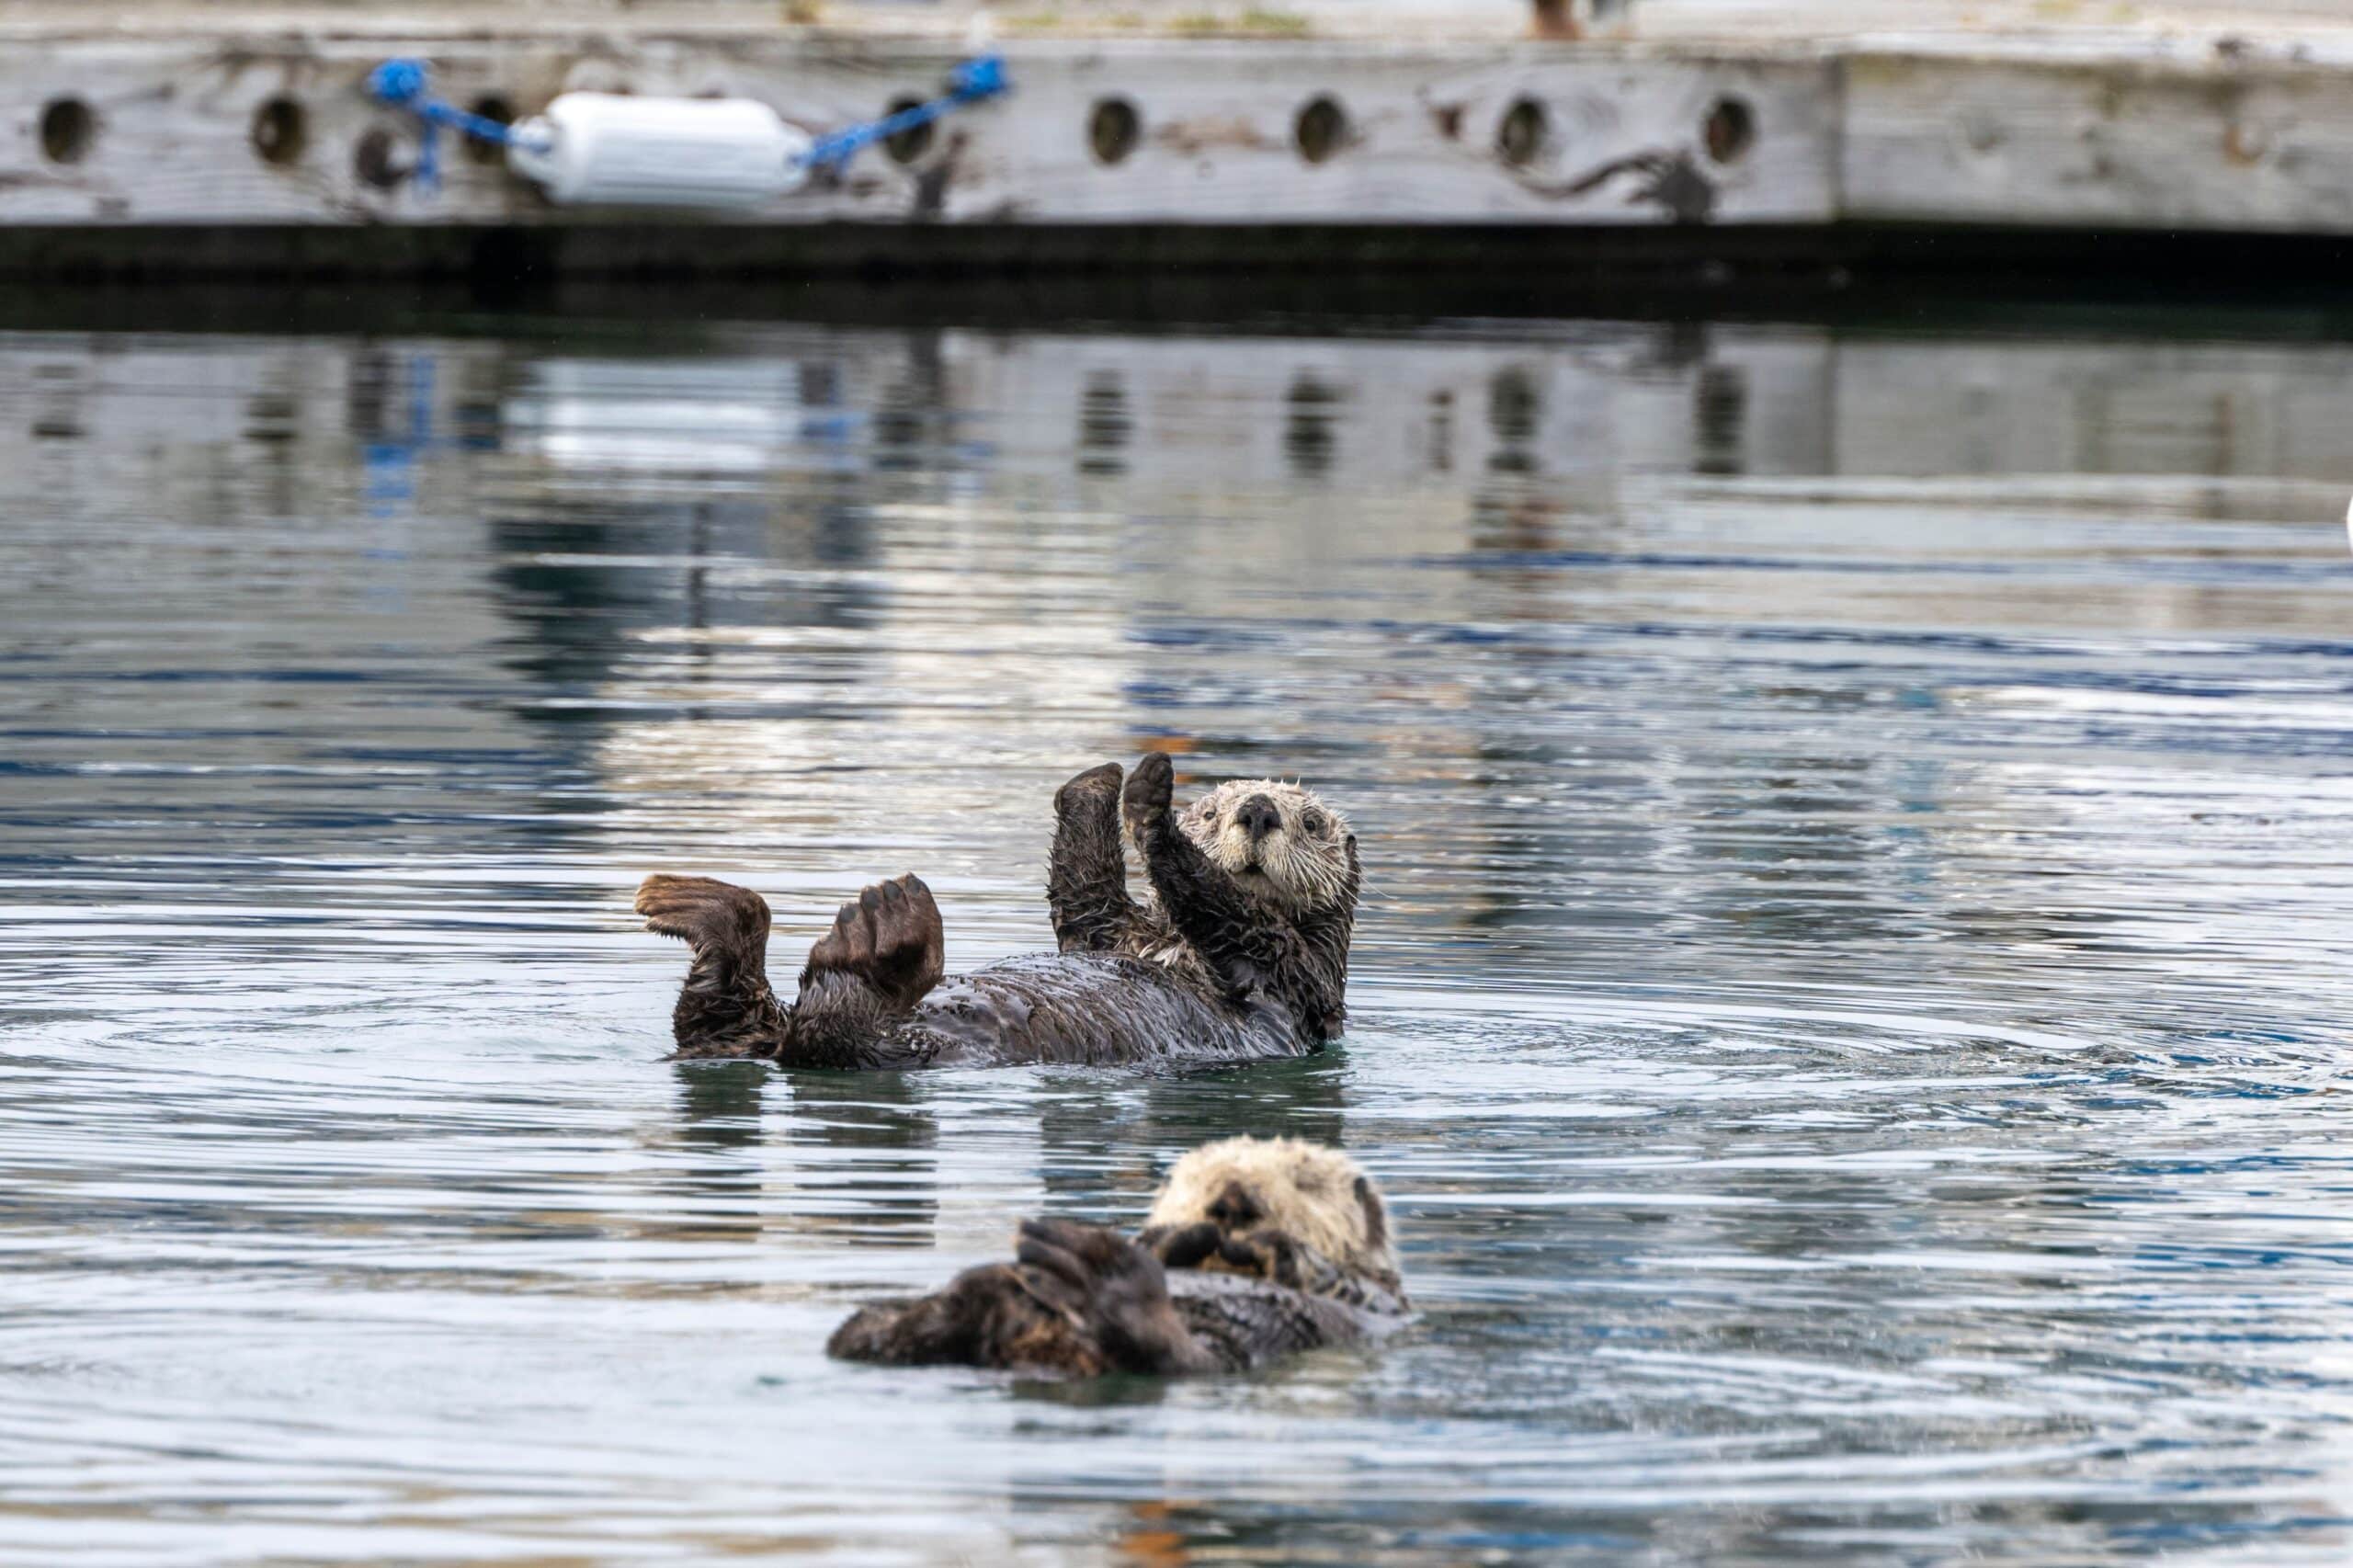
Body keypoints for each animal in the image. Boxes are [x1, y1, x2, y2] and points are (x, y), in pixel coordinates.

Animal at [635, 753, 1364, 1068]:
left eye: (1313, 822)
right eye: (1212, 810)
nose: (1258, 811)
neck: (1168, 942)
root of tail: (773, 1040)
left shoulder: (1298, 975)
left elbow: (1227, 909)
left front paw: (1152, 812)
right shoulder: (1103, 930)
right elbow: (1082, 892)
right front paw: (1105, 781)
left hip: (900, 1045)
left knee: (839, 1031)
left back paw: (882, 929)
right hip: (753, 1023)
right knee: (719, 1011)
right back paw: (699, 903)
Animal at [828, 1130, 1402, 1374]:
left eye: (1305, 1181)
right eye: (1198, 1177)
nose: (1232, 1200)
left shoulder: (1379, 1297)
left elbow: (1336, 1279)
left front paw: (1270, 1244)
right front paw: (1172, 1237)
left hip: (1213, 1350)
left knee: (1171, 1355)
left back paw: (1095, 1271)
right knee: (874, 1334)